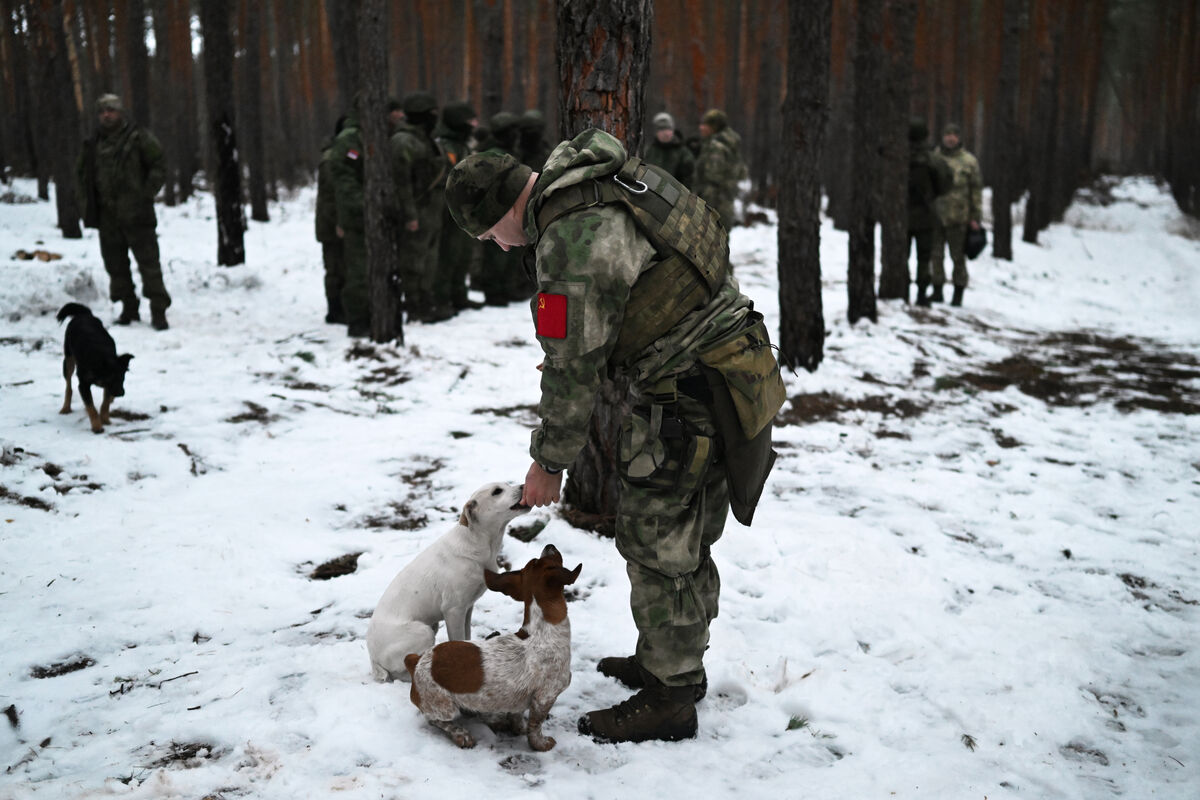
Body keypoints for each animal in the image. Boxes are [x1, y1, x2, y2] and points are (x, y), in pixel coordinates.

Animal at [57, 303, 132, 434]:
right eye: (112, 379)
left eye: (123, 378)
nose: (121, 393)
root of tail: (84, 314)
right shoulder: (84, 385)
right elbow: (91, 406)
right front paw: (97, 426)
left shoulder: (108, 386)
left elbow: (105, 403)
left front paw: (105, 419)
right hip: (68, 360)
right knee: (68, 386)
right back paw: (66, 407)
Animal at [364, 482, 530, 681]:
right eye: (497, 491)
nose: (523, 485)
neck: (480, 543)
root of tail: (373, 658)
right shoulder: (453, 610)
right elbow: (458, 639)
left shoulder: (467, 608)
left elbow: (466, 636)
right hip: (424, 632)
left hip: (432, 626)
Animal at [405, 544, 583, 753]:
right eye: (547, 560)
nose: (549, 546)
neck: (541, 630)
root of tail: (416, 662)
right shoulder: (545, 697)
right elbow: (536, 726)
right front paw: (541, 744)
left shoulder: (522, 700)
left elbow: (517, 716)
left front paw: (518, 728)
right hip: (445, 707)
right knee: (436, 720)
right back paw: (462, 734)